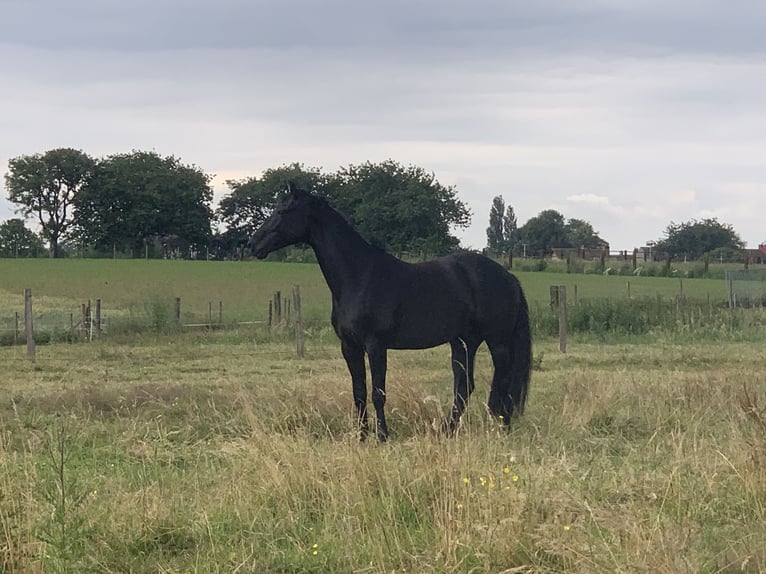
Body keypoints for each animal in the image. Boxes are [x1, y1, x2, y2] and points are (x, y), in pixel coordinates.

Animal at [249, 187, 532, 444]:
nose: (253, 243)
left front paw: (382, 436)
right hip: (464, 342)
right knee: (464, 387)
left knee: (502, 381)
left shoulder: (376, 345)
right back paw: (447, 431)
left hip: (497, 341)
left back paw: (501, 427)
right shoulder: (349, 346)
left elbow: (378, 393)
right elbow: (359, 392)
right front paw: (361, 437)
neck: (359, 276)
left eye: (283, 211)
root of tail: (508, 276)